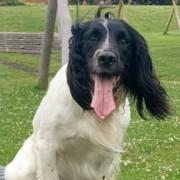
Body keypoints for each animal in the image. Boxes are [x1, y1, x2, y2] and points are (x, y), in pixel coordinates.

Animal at [4, 13, 170, 180]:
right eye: (92, 37)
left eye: (124, 41)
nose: (106, 58)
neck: (91, 108)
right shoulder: (46, 146)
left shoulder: (108, 153)